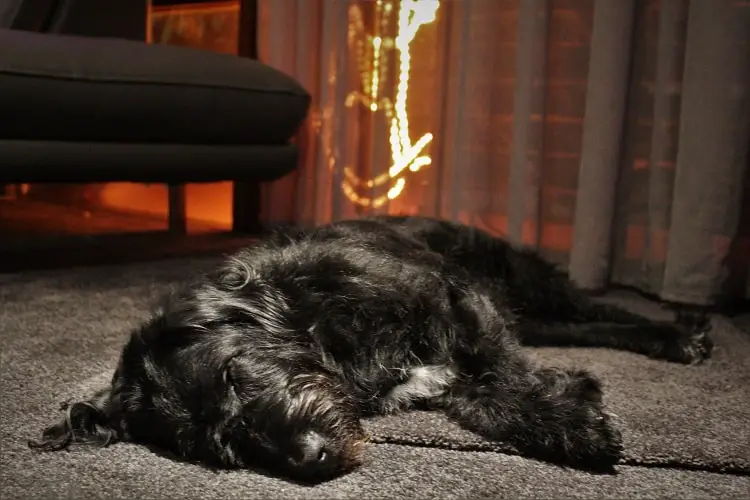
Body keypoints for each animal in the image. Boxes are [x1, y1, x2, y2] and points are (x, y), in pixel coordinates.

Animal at [29, 217, 712, 482]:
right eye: (223, 447)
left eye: (233, 375)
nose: (312, 458)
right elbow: (478, 394)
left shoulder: (456, 299)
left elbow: (498, 379)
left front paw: (573, 423)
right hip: (537, 315)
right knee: (585, 327)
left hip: (523, 281)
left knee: (598, 309)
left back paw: (683, 333)